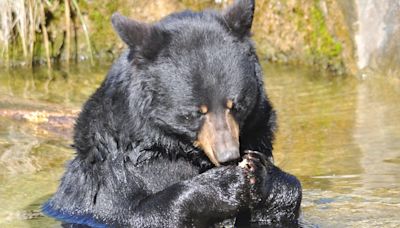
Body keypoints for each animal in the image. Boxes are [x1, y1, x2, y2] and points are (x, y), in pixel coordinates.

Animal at [43, 0, 300, 227]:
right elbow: (138, 212)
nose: (228, 155)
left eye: (235, 105)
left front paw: (262, 173)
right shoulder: (114, 177)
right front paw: (225, 182)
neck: (171, 145)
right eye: (196, 112)